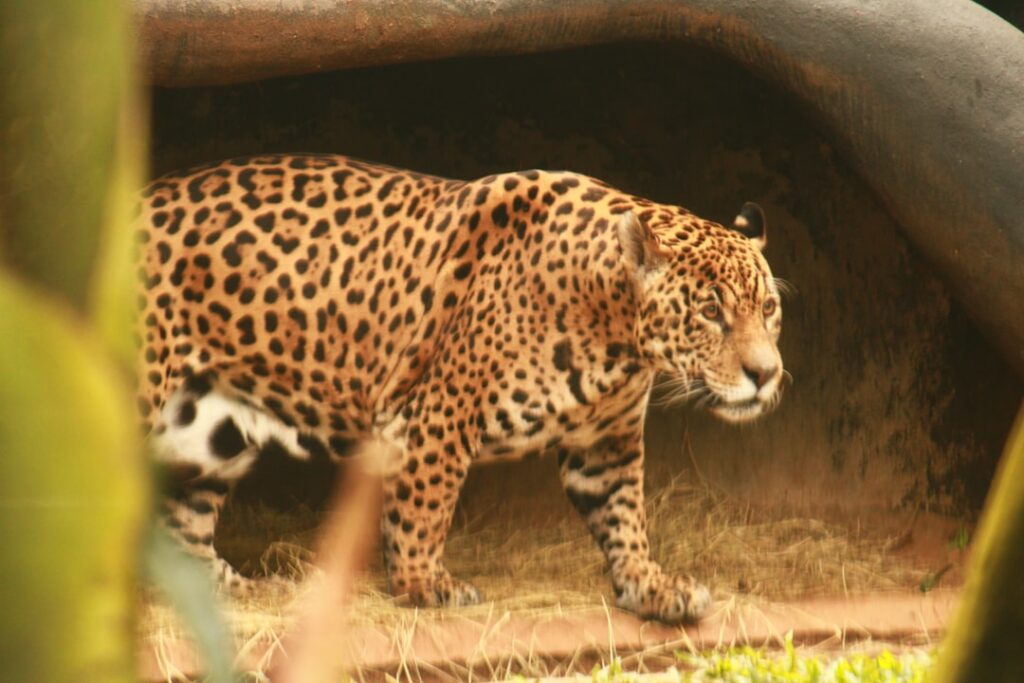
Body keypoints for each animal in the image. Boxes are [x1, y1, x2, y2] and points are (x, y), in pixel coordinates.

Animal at [136, 153, 784, 624]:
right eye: (709, 312)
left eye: (769, 308)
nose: (766, 374)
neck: (615, 334)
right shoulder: (436, 416)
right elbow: (425, 510)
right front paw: (424, 587)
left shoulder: (608, 443)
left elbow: (625, 517)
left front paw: (649, 588)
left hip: (211, 434)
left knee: (182, 526)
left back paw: (235, 593)